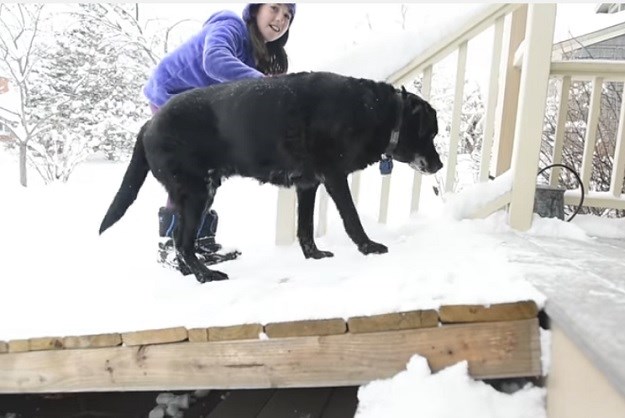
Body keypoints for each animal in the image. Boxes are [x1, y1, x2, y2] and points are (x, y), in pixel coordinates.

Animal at [98, 72, 438, 284]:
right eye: (431, 133)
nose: (439, 165)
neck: (376, 112)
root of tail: (148, 125)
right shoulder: (334, 177)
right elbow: (352, 218)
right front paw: (368, 247)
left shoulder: (308, 184)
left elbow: (305, 228)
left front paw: (314, 256)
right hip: (197, 192)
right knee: (182, 241)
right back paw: (206, 276)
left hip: (197, 193)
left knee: (182, 240)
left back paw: (195, 271)